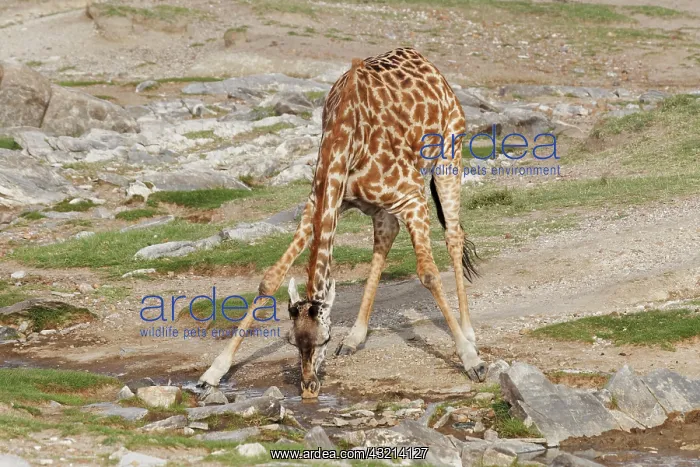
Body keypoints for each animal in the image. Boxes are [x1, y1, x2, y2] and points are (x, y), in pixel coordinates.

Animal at [199, 48, 486, 398]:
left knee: (454, 234)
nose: (309, 388)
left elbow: (429, 275)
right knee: (386, 238)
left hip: (449, 156)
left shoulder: (412, 198)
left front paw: (472, 361)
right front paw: (213, 372)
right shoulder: (320, 202)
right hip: (380, 206)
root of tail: (427, 63)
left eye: (325, 338)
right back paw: (355, 337)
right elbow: (270, 279)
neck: (345, 140)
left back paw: (469, 333)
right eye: (291, 341)